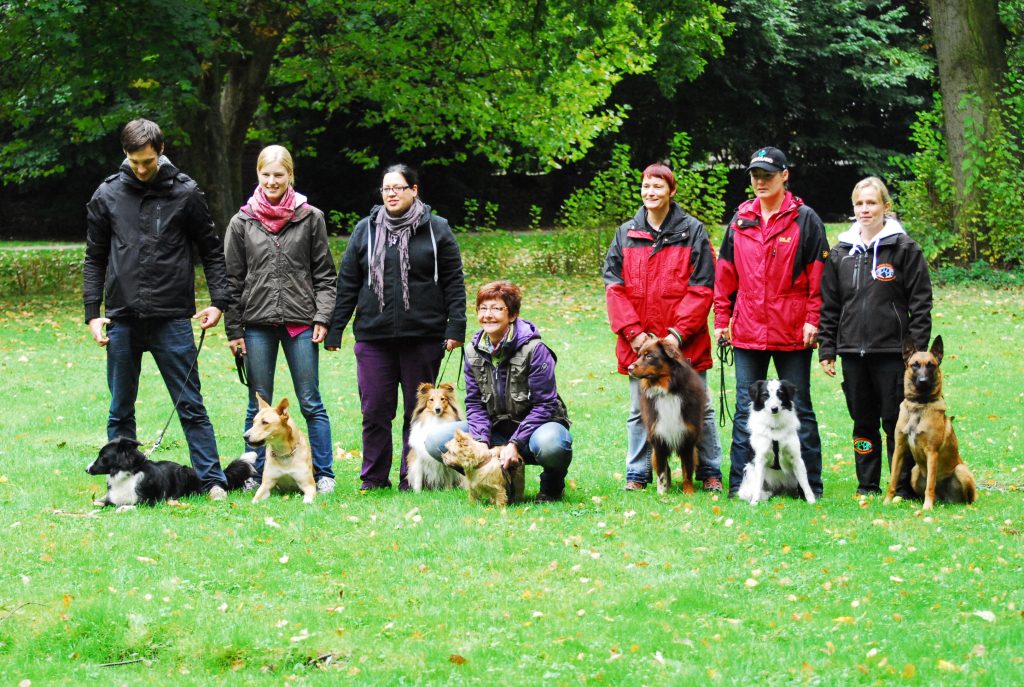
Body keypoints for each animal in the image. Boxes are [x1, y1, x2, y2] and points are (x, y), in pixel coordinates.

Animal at [88, 438, 256, 507]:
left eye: (102, 457)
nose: (86, 469)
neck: (128, 475)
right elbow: (100, 504)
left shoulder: (149, 501)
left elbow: (125, 507)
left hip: (185, 471)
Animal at [622, 337, 704, 495]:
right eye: (639, 355)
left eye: (649, 356)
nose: (629, 368)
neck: (666, 390)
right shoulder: (658, 437)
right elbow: (661, 472)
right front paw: (662, 494)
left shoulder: (687, 437)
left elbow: (687, 470)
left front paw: (688, 493)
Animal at [884, 337, 978, 509]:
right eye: (914, 364)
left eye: (931, 365)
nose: (923, 381)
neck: (919, 406)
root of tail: (946, 499)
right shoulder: (899, 449)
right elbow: (893, 479)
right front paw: (887, 501)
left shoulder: (932, 452)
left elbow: (930, 485)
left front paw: (927, 508)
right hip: (914, 472)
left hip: (961, 470)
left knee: (969, 498)